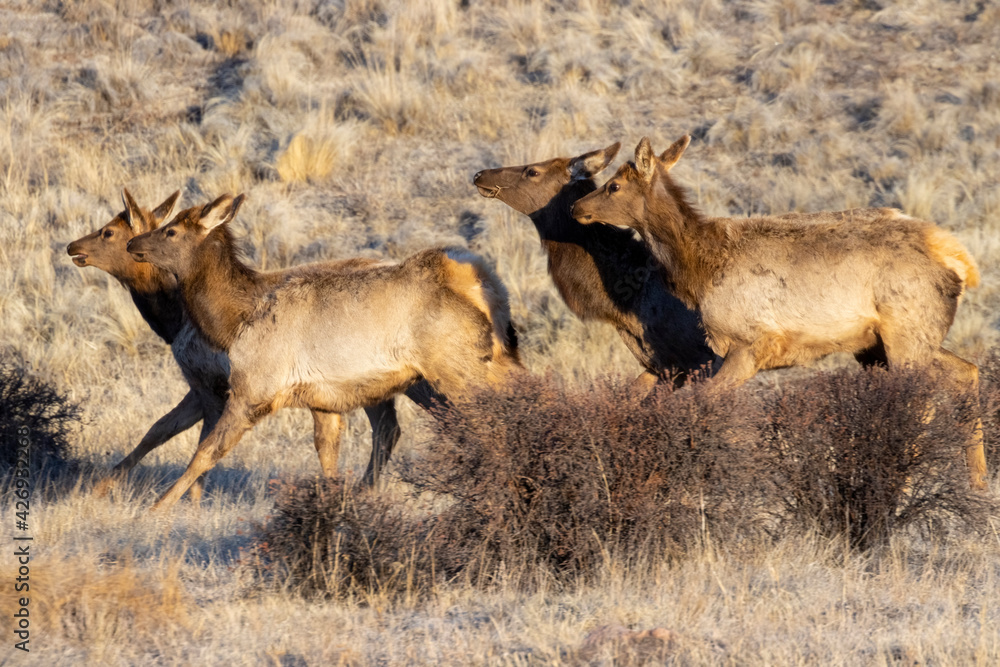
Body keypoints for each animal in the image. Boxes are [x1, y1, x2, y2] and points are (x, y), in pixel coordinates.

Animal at [67, 190, 427, 501]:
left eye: (108, 231)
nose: (71, 246)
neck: (173, 319)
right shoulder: (205, 385)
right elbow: (160, 429)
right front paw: (101, 487)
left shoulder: (212, 383)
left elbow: (192, 439)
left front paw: (188, 502)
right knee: (389, 428)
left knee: (395, 425)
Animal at [126, 193, 521, 511]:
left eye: (171, 231)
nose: (132, 243)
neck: (235, 320)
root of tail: (484, 281)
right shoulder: (322, 398)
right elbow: (327, 455)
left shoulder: (253, 389)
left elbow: (206, 452)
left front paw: (158, 508)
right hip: (493, 359)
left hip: (457, 366)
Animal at [572, 136, 987, 489]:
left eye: (613, 186)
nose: (577, 208)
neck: (700, 269)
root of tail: (959, 261)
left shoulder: (751, 343)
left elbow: (700, 403)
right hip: (893, 340)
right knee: (967, 371)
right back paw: (978, 487)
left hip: (906, 333)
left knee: (921, 402)